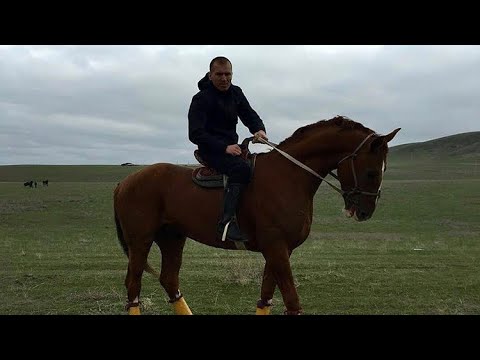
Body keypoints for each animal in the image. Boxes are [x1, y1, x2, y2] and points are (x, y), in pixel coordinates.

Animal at [113, 116, 402, 316]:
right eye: (371, 172)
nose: (365, 212)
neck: (289, 176)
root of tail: (125, 181)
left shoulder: (279, 250)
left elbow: (266, 297)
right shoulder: (276, 248)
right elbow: (292, 302)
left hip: (172, 238)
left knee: (169, 280)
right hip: (140, 241)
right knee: (133, 286)